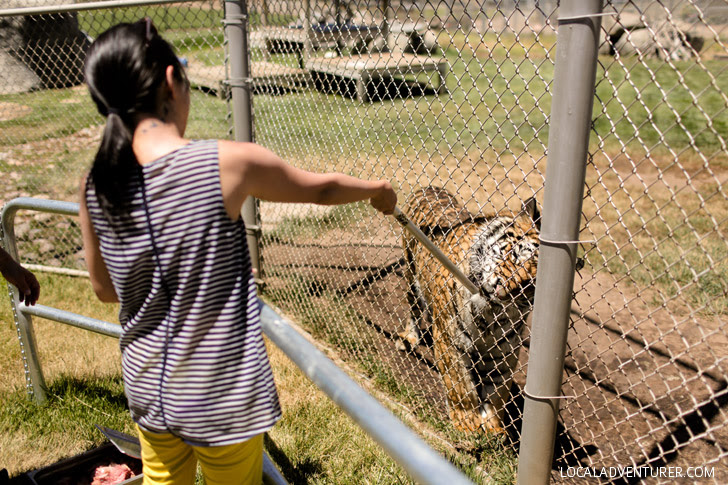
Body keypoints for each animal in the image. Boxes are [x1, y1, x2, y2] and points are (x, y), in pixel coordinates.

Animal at [398, 184, 540, 432]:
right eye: (514, 255)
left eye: (530, 285)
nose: (502, 290)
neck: (490, 316)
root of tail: (430, 187)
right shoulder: (449, 339)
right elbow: (460, 385)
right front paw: (466, 423)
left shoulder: (504, 353)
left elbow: (498, 391)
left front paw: (493, 427)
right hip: (410, 274)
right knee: (414, 310)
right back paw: (409, 338)